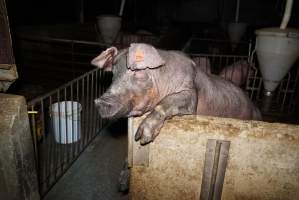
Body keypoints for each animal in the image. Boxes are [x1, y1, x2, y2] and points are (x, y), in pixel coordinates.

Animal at [92, 42, 262, 145]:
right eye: (113, 73)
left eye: (137, 72)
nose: (100, 101)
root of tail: (256, 109)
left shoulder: (190, 92)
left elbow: (170, 101)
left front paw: (142, 138)